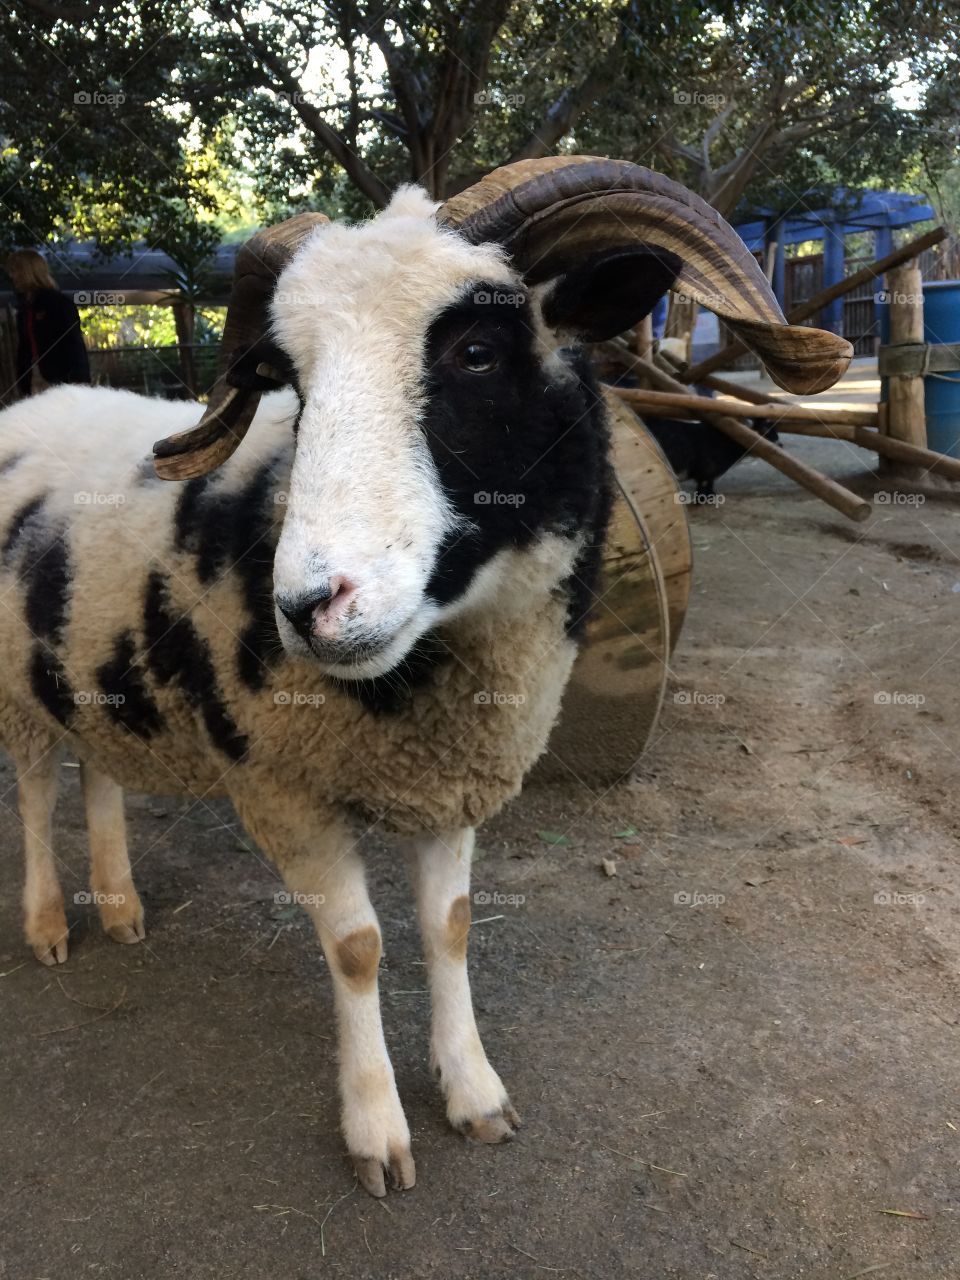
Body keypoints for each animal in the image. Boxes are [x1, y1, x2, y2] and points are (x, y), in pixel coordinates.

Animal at [0, 157, 851, 1197]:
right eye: (289, 380)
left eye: (478, 351)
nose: (309, 606)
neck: (438, 679)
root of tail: (30, 404)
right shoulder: (284, 788)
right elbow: (359, 948)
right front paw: (377, 1130)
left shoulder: (452, 784)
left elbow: (450, 927)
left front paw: (475, 1095)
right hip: (15, 691)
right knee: (36, 793)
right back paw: (49, 924)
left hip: (92, 680)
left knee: (101, 776)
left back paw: (120, 908)